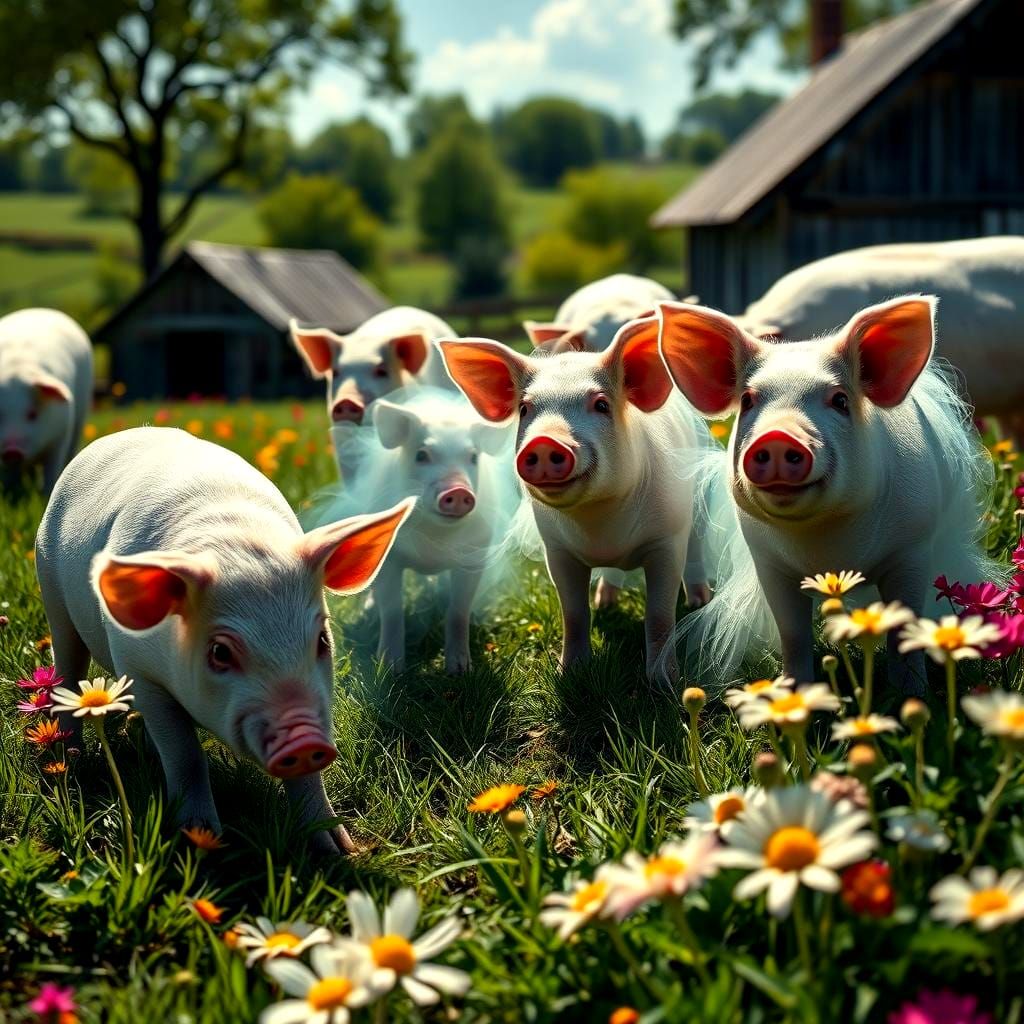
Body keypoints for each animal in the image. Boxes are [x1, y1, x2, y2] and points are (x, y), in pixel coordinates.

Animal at [0, 308, 93, 495]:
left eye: (32, 414)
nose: (12, 451)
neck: (16, 369)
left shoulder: (62, 433)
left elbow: (52, 469)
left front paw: (46, 493)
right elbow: (8, 479)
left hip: (81, 416)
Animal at [35, 427, 413, 853]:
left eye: (321, 640)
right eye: (220, 651)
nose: (302, 740)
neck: (234, 541)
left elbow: (307, 777)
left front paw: (340, 848)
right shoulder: (137, 668)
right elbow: (185, 754)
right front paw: (199, 838)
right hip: (50, 588)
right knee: (68, 668)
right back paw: (71, 755)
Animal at [320, 388, 515, 674]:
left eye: (473, 457)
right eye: (421, 455)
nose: (458, 491)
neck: (434, 538)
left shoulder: (474, 555)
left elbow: (458, 610)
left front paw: (460, 671)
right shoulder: (389, 560)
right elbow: (392, 611)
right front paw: (390, 669)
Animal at [439, 319, 720, 682]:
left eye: (601, 405)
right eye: (525, 409)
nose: (544, 441)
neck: (598, 524)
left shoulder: (666, 541)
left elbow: (659, 615)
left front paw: (665, 682)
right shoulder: (557, 550)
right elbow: (572, 612)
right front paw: (569, 672)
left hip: (697, 504)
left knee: (696, 547)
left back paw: (699, 601)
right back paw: (605, 602)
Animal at [657, 295, 995, 692]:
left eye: (839, 400)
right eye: (748, 400)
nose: (777, 436)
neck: (826, 547)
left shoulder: (911, 549)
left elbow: (903, 631)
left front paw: (911, 693)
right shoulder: (770, 563)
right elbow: (793, 633)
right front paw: (795, 691)